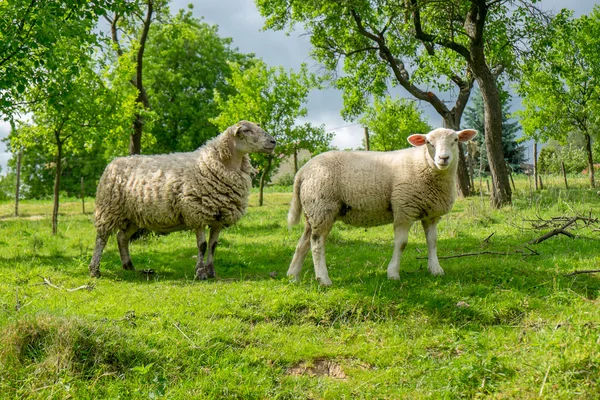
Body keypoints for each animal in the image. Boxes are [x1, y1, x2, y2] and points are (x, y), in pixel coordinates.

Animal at [89, 120, 276, 280]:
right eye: (247, 130)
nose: (273, 142)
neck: (214, 163)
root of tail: (113, 162)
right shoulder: (197, 213)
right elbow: (202, 245)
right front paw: (200, 273)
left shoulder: (218, 217)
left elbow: (213, 245)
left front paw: (211, 271)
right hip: (109, 209)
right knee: (101, 238)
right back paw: (95, 270)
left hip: (134, 216)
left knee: (122, 237)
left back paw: (128, 266)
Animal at [286, 126, 478, 286]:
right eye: (428, 142)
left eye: (455, 140)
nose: (443, 158)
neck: (424, 164)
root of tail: (302, 171)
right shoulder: (404, 209)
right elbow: (401, 243)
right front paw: (393, 273)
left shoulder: (431, 215)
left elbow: (432, 241)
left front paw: (436, 269)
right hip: (322, 206)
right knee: (316, 243)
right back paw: (323, 279)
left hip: (313, 211)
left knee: (303, 243)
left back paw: (293, 276)